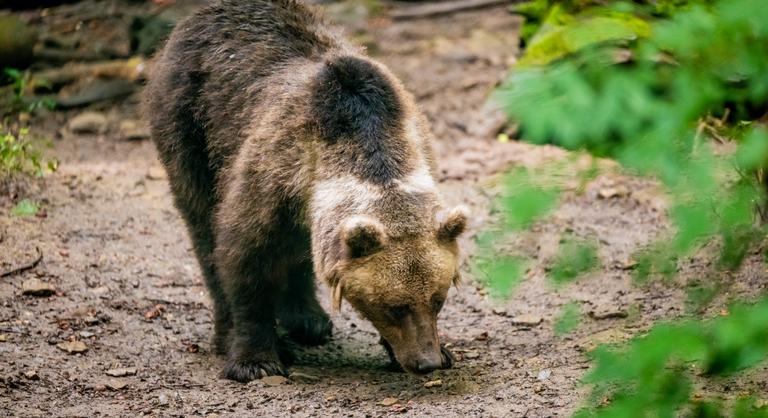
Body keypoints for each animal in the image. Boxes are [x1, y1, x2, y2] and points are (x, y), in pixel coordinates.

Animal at [145, 0, 468, 382]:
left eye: (438, 298)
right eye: (395, 306)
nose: (427, 361)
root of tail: (196, 17)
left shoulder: (416, 140)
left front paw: (439, 351)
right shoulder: (272, 171)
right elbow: (244, 256)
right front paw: (255, 360)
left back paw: (308, 320)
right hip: (189, 121)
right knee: (201, 222)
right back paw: (228, 332)